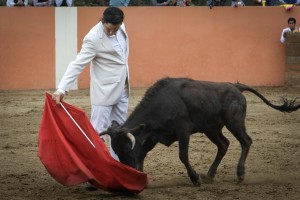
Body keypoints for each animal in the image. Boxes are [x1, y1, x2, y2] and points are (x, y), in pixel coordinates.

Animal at [101, 77, 300, 186]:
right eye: (116, 150)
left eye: (126, 148)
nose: (129, 170)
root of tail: (236, 87)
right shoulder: (151, 136)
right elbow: (142, 154)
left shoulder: (183, 130)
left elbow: (183, 155)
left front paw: (195, 178)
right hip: (211, 129)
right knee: (224, 145)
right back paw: (210, 175)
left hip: (234, 123)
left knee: (246, 141)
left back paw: (240, 173)